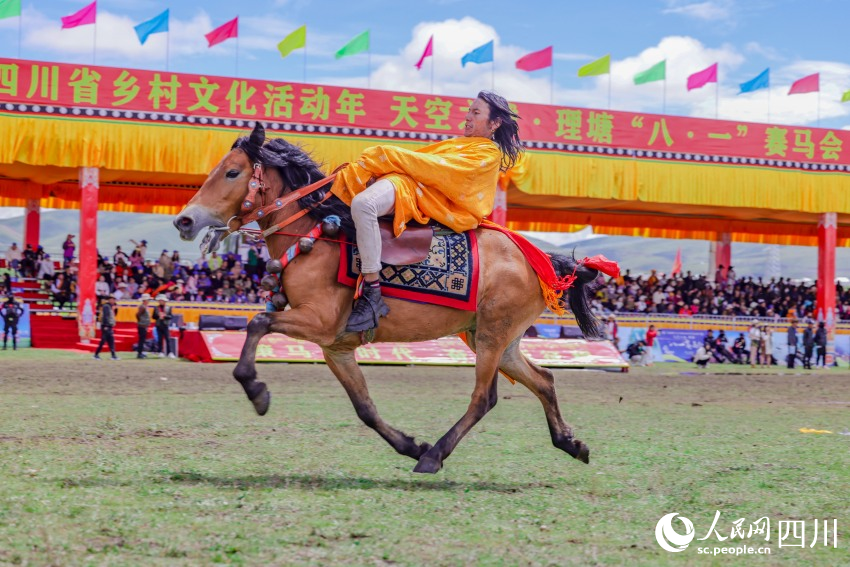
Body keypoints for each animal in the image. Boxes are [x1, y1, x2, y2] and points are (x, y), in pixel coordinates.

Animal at [174, 124, 604, 474]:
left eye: (232, 172)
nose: (184, 220)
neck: (316, 235)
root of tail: (541, 260)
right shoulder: (336, 346)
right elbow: (364, 408)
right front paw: (409, 444)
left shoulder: (320, 322)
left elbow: (257, 323)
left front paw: (256, 390)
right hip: (496, 338)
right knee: (544, 379)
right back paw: (570, 443)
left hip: (491, 338)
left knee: (484, 397)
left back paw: (435, 456)